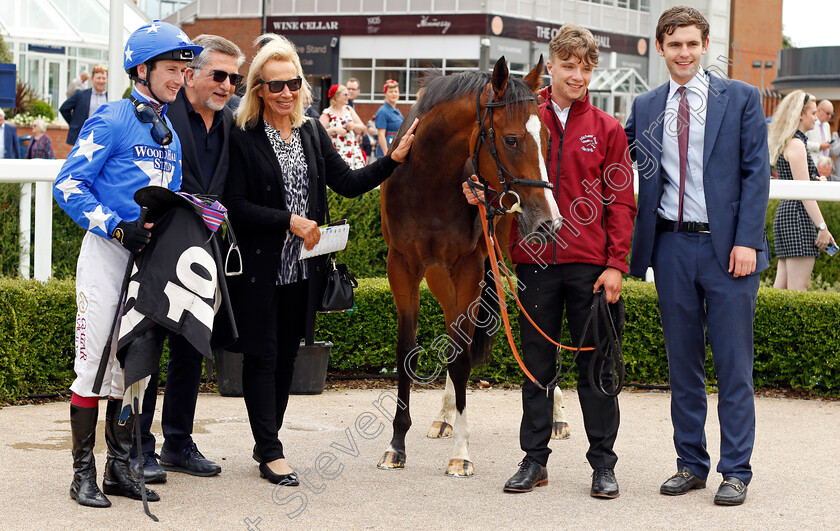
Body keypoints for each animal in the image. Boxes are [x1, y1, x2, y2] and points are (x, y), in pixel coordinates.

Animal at [378, 56, 564, 476]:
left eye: (547, 137)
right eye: (511, 139)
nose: (549, 221)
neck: (426, 179)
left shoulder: (468, 266)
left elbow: (462, 356)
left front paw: (461, 452)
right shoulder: (403, 266)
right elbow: (407, 351)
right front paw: (396, 445)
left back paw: (557, 411)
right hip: (438, 273)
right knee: (452, 327)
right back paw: (444, 415)